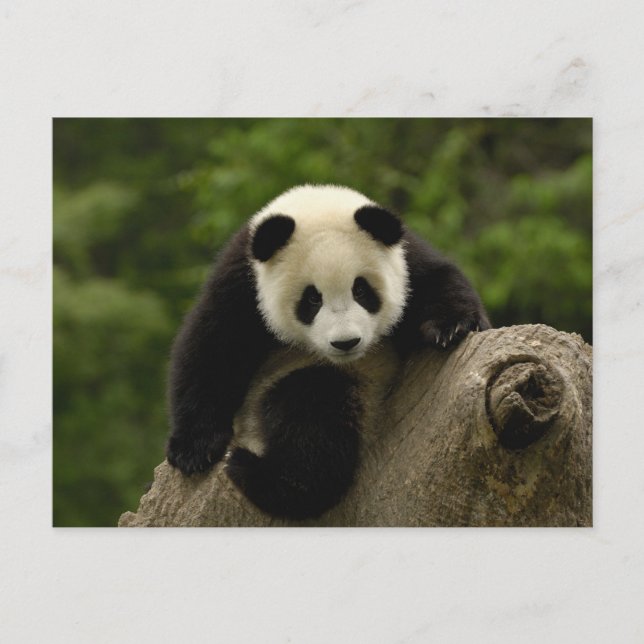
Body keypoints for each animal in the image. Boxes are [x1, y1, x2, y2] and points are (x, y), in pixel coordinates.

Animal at [166, 184, 490, 520]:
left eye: (361, 290)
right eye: (312, 299)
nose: (346, 342)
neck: (315, 204)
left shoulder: (406, 260)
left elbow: (441, 279)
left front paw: (452, 326)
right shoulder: (241, 280)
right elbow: (212, 348)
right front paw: (194, 450)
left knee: (314, 407)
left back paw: (258, 473)